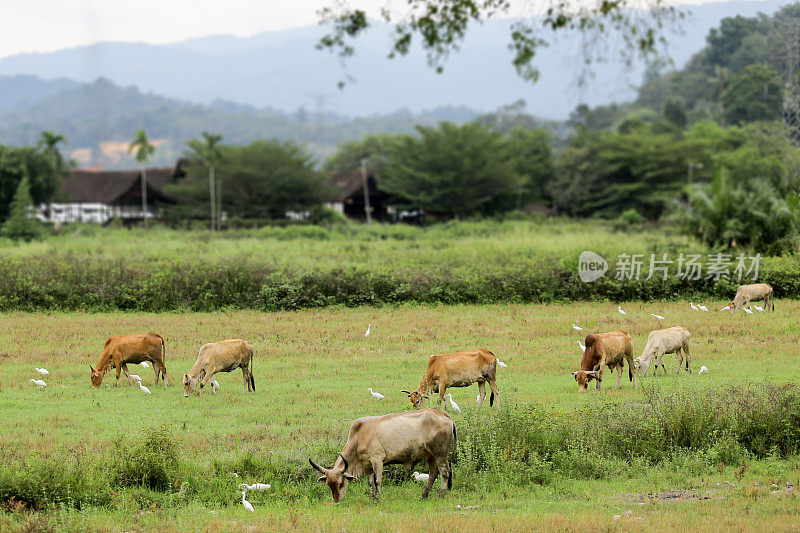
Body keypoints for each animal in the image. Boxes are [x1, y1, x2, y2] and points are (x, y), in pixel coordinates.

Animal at [308, 410, 456, 500]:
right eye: (329, 485)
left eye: (340, 483)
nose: (337, 501)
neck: (359, 436)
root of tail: (441, 412)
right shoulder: (370, 464)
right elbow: (371, 482)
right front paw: (372, 497)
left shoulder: (377, 459)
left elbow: (377, 481)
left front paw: (378, 499)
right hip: (430, 455)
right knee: (433, 473)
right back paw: (423, 495)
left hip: (440, 453)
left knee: (444, 472)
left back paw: (440, 495)